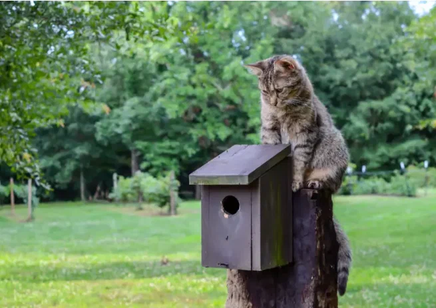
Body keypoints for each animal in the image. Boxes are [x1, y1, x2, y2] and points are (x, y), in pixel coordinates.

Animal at [247, 55, 352, 296]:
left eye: (279, 90)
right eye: (264, 92)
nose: (273, 102)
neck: (283, 111)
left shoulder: (305, 133)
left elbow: (298, 161)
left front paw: (294, 180)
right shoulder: (270, 129)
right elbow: (271, 150)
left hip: (334, 143)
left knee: (329, 183)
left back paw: (315, 181)